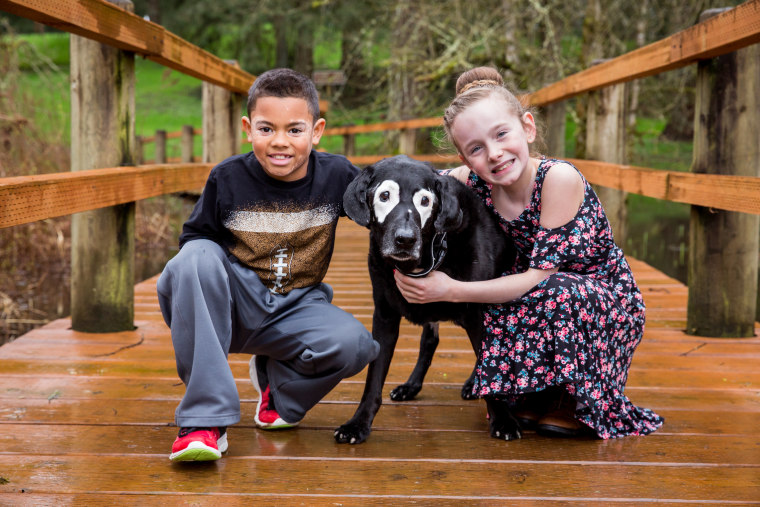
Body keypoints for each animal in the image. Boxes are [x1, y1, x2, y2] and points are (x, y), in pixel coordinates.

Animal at [338, 155, 524, 444]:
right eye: (384, 195)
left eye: (425, 201)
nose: (405, 239)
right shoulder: (384, 317)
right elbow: (374, 378)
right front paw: (359, 423)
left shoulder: (476, 314)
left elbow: (489, 364)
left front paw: (502, 419)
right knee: (430, 341)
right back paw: (412, 386)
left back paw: (472, 385)